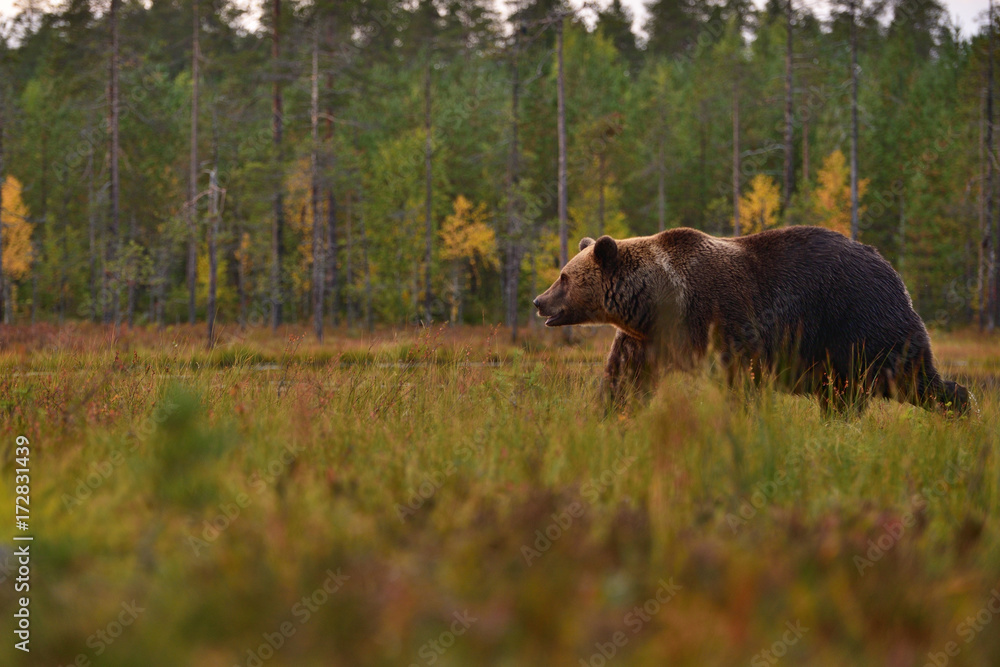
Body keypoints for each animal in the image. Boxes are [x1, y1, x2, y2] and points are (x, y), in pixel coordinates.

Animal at [532, 226, 971, 416]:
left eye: (564, 277)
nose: (539, 302)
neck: (662, 301)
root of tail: (891, 269)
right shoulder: (647, 338)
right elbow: (623, 377)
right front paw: (608, 413)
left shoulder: (721, 318)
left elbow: (741, 375)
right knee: (848, 393)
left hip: (860, 320)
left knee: (908, 374)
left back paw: (961, 408)